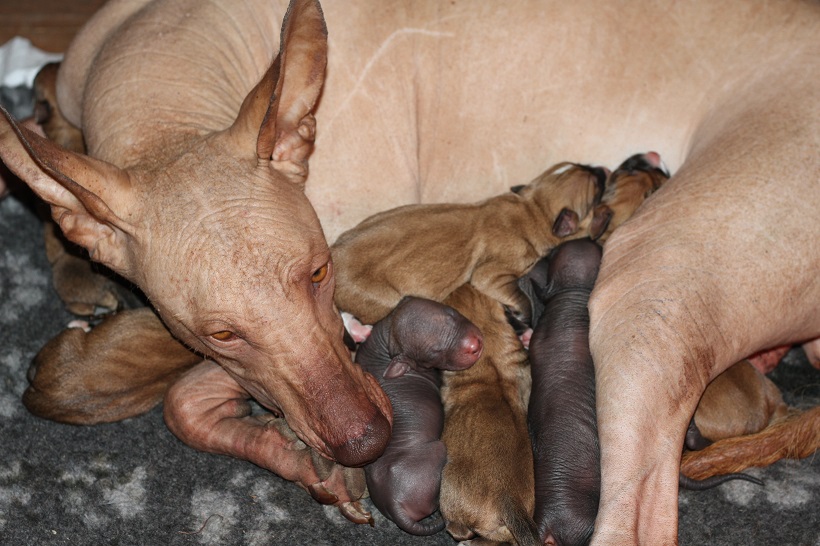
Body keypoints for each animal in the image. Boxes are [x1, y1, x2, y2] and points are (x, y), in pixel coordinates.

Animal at [332, 159, 608, 326]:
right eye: (595, 187)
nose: (602, 169)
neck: (533, 209)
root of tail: (333, 255)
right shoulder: (490, 275)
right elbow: (519, 297)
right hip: (381, 300)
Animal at [356, 296, 484, 532]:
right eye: (435, 352)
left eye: (451, 313)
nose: (475, 345)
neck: (387, 336)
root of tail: (395, 505)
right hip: (438, 449)